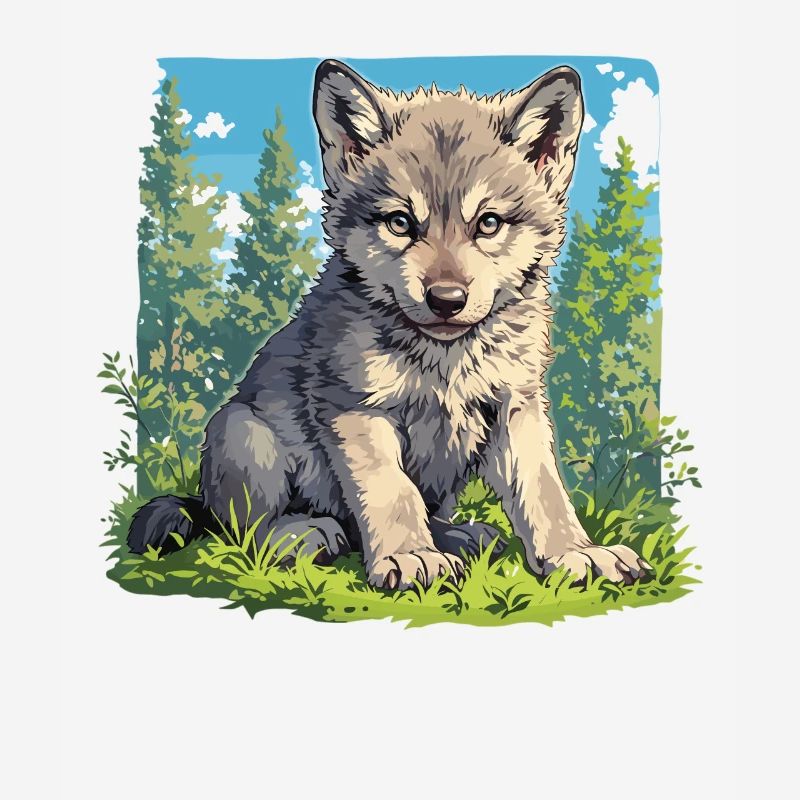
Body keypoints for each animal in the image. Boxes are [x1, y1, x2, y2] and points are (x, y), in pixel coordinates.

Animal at [129, 59, 650, 590]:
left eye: (488, 223)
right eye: (400, 223)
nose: (446, 300)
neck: (446, 359)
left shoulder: (517, 406)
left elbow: (543, 491)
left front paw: (575, 554)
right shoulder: (359, 411)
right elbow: (392, 492)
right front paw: (410, 556)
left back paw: (457, 536)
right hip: (242, 433)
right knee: (243, 530)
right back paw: (304, 533)